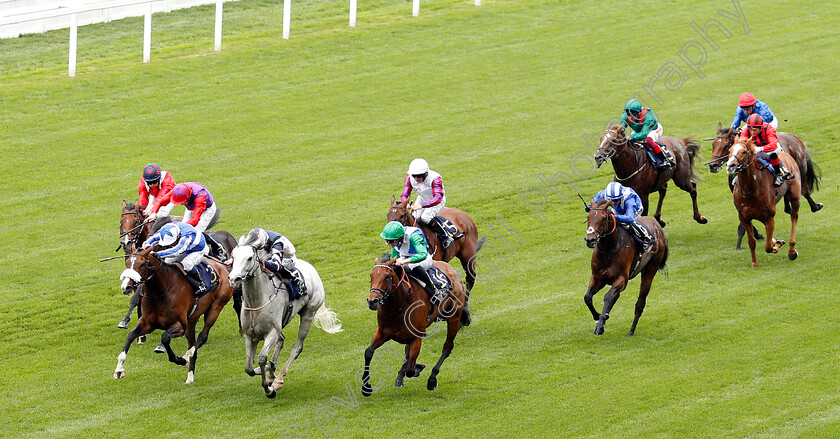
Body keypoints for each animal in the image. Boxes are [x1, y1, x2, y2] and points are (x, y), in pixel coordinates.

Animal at [113, 248, 235, 384]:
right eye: (128, 262)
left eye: (142, 264)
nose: (126, 287)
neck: (160, 291)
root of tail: (224, 267)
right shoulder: (148, 323)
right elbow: (131, 335)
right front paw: (119, 369)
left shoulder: (180, 325)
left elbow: (165, 337)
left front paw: (179, 359)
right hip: (192, 321)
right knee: (193, 343)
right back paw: (190, 376)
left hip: (217, 306)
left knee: (202, 337)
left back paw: (186, 357)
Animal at [228, 239, 342, 400]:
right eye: (233, 257)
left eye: (249, 258)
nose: (233, 279)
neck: (257, 301)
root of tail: (312, 268)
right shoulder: (250, 336)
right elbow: (249, 368)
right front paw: (269, 371)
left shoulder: (271, 333)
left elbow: (262, 358)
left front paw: (269, 389)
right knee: (281, 340)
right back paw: (272, 373)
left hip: (308, 314)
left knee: (296, 348)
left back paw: (279, 378)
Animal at [360, 256, 470, 394]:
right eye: (371, 275)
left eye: (387, 276)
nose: (372, 301)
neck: (399, 305)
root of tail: (452, 270)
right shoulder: (382, 332)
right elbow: (368, 352)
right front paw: (366, 387)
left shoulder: (416, 336)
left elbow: (411, 370)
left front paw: (419, 368)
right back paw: (400, 377)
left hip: (453, 318)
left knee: (447, 347)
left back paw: (432, 379)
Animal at [584, 199, 668, 336]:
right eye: (588, 217)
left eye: (603, 218)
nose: (590, 240)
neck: (608, 250)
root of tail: (657, 226)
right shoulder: (598, 277)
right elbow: (587, 297)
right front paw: (598, 316)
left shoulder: (622, 279)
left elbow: (608, 297)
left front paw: (600, 325)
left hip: (650, 271)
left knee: (640, 303)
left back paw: (631, 331)